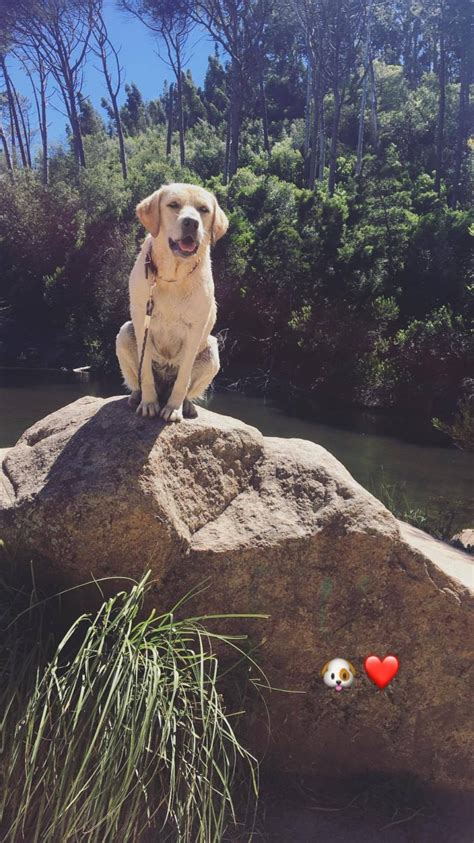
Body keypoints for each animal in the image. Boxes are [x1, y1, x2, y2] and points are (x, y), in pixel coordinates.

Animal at [118, 184, 230, 422]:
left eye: (203, 209)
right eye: (173, 205)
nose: (191, 222)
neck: (173, 275)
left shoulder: (195, 329)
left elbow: (183, 378)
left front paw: (174, 409)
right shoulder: (141, 320)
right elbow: (145, 373)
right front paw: (148, 404)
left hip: (212, 350)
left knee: (187, 387)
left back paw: (187, 405)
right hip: (124, 333)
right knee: (138, 380)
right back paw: (137, 396)